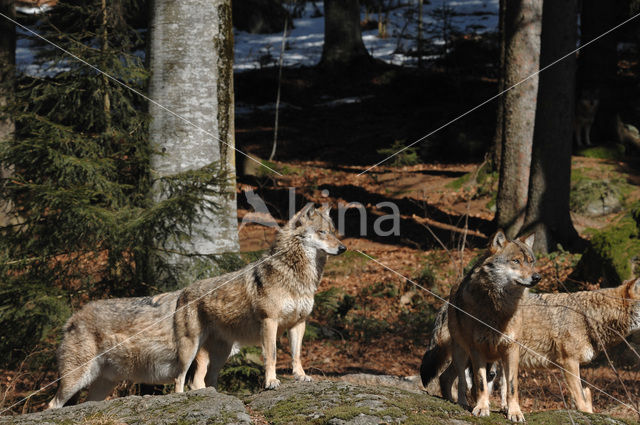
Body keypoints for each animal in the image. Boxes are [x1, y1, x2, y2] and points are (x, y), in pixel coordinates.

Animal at [48, 204, 344, 410]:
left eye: (335, 232)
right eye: (322, 233)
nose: (343, 248)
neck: (297, 276)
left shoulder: (298, 323)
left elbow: (296, 355)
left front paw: (301, 377)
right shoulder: (269, 322)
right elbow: (270, 356)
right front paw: (271, 382)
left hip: (216, 356)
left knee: (198, 383)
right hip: (180, 353)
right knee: (180, 382)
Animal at [430, 232, 540, 420]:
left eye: (531, 261)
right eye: (516, 261)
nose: (537, 277)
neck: (499, 308)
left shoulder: (511, 349)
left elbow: (512, 386)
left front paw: (514, 412)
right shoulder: (476, 349)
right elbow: (480, 383)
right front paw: (481, 408)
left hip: (499, 359)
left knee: (501, 383)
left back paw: (503, 406)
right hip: (461, 352)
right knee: (458, 380)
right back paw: (462, 403)